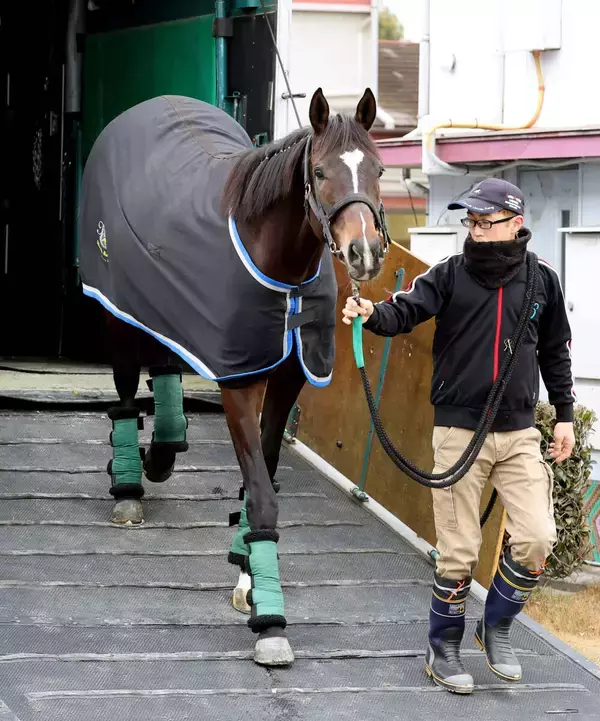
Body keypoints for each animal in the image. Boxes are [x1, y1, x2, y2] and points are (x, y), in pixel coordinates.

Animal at [78, 87, 388, 667]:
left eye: (378, 169)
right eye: (319, 171)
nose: (365, 252)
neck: (279, 265)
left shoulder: (287, 375)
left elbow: (262, 474)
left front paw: (247, 572)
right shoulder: (239, 381)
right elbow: (262, 490)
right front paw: (271, 621)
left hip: (167, 301)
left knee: (167, 361)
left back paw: (162, 454)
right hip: (117, 306)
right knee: (127, 387)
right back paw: (130, 482)